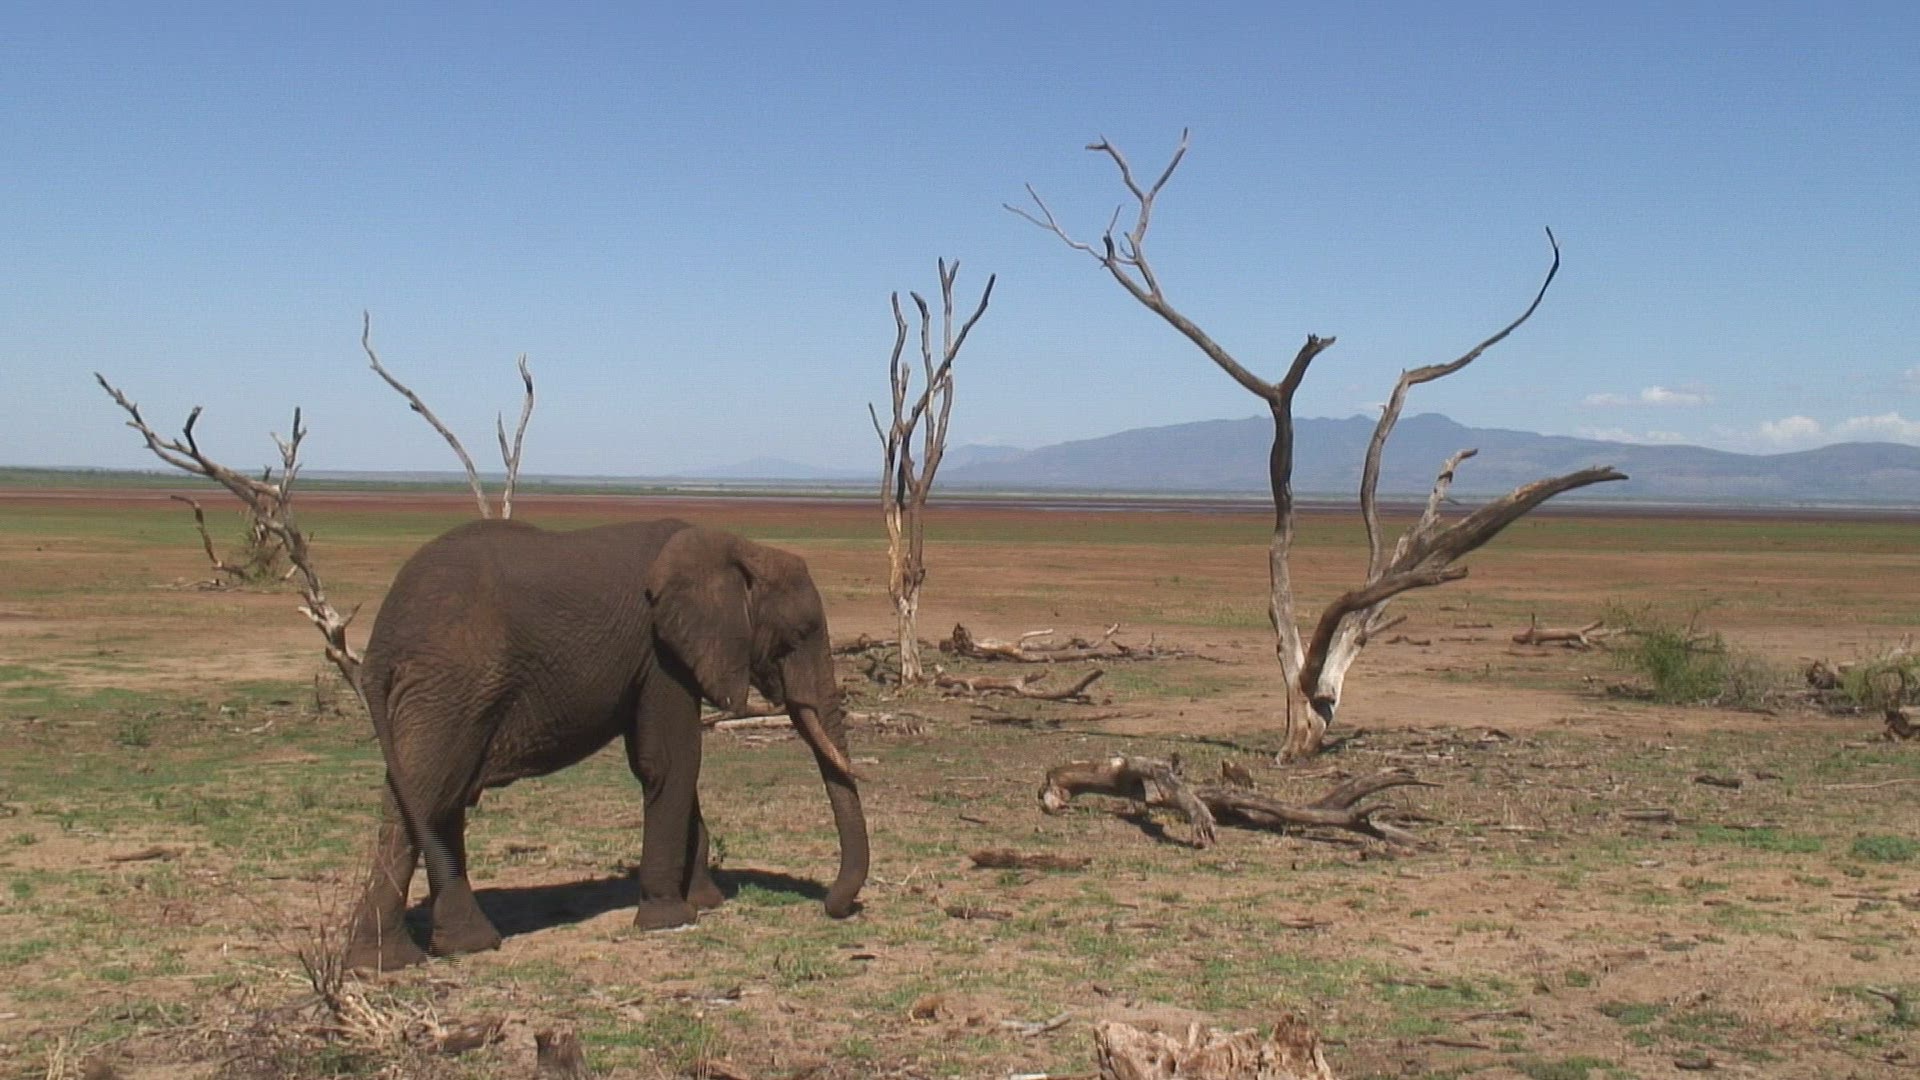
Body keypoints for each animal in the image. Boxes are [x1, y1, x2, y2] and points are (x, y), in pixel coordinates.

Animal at [341, 518, 868, 972]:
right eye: (797, 636)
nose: (835, 907)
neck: (737, 548)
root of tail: (380, 644)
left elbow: (667, 765)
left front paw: (706, 901)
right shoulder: (661, 651)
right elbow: (670, 761)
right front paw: (670, 919)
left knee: (436, 800)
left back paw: (460, 947)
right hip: (451, 687)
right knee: (424, 799)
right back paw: (390, 963)